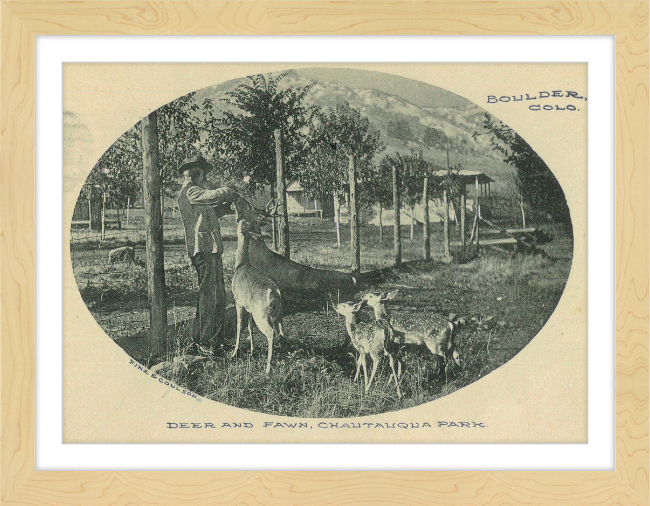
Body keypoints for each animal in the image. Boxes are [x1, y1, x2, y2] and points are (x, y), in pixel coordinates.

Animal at [232, 217, 284, 376]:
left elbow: (239, 326)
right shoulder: (249, 307)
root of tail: (274, 292)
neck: (241, 264)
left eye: (243, 224)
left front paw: (234, 352)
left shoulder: (238, 301)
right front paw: (252, 349)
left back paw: (267, 369)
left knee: (271, 333)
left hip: (261, 314)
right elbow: (249, 327)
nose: (239, 218)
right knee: (281, 332)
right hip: (277, 313)